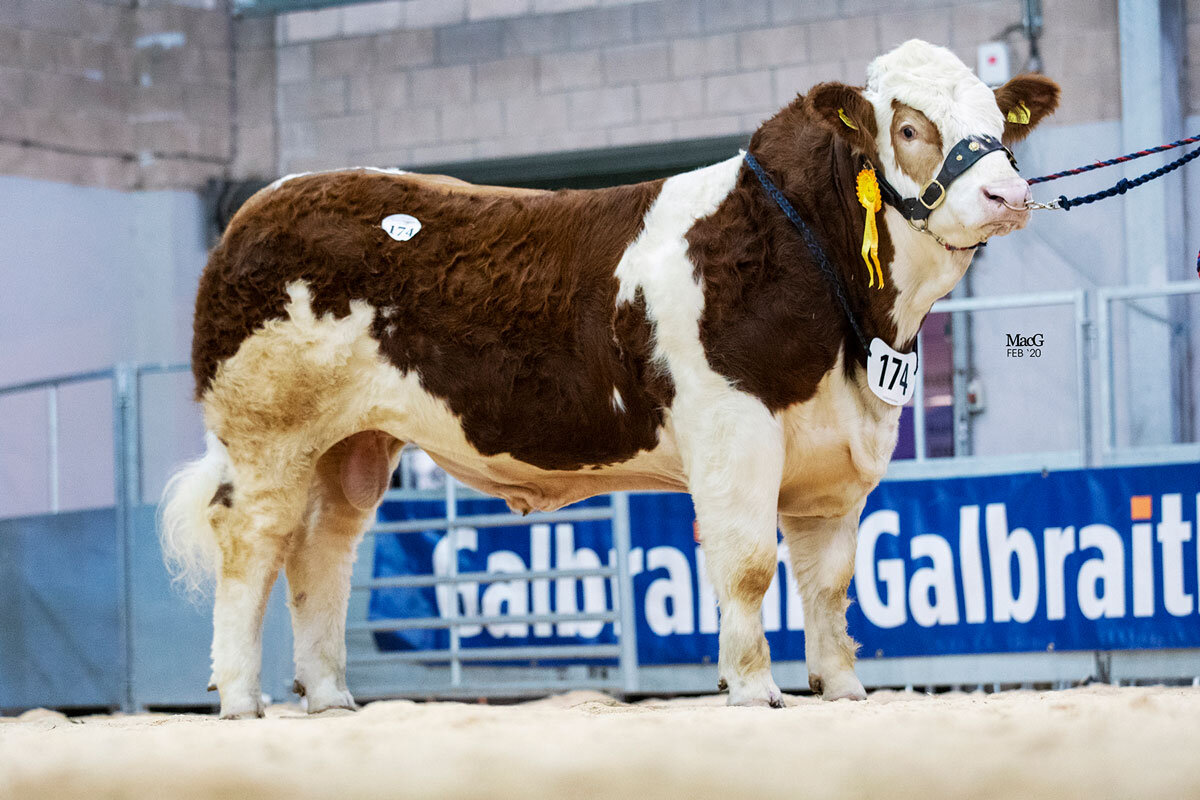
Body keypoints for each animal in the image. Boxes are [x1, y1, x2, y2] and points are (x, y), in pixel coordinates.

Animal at [162, 40, 1060, 719]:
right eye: (909, 126)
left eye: (995, 122)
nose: (1008, 191)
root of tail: (259, 207)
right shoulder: (735, 430)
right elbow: (747, 564)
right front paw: (753, 689)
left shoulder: (839, 456)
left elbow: (832, 583)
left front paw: (841, 690)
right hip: (268, 434)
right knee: (253, 543)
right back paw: (240, 699)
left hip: (351, 445)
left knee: (323, 552)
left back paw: (329, 698)